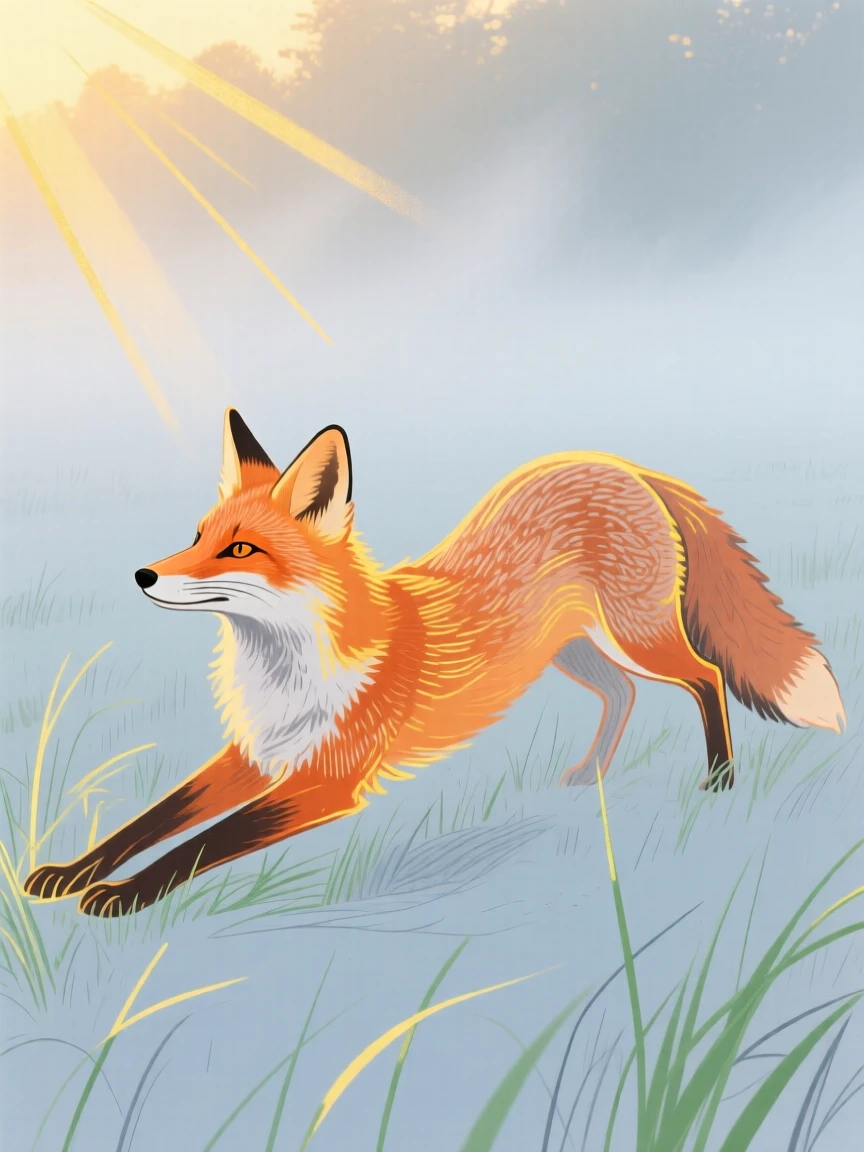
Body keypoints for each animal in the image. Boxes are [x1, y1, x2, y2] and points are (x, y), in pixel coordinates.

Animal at [25, 409, 846, 917]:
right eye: (196, 536)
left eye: (240, 549)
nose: (142, 575)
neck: (290, 669)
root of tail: (618, 465)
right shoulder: (256, 753)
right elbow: (147, 822)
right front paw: (68, 874)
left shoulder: (328, 780)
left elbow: (197, 846)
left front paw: (121, 896)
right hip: (575, 655)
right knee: (624, 698)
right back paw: (590, 776)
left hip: (636, 639)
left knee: (706, 678)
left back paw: (720, 781)